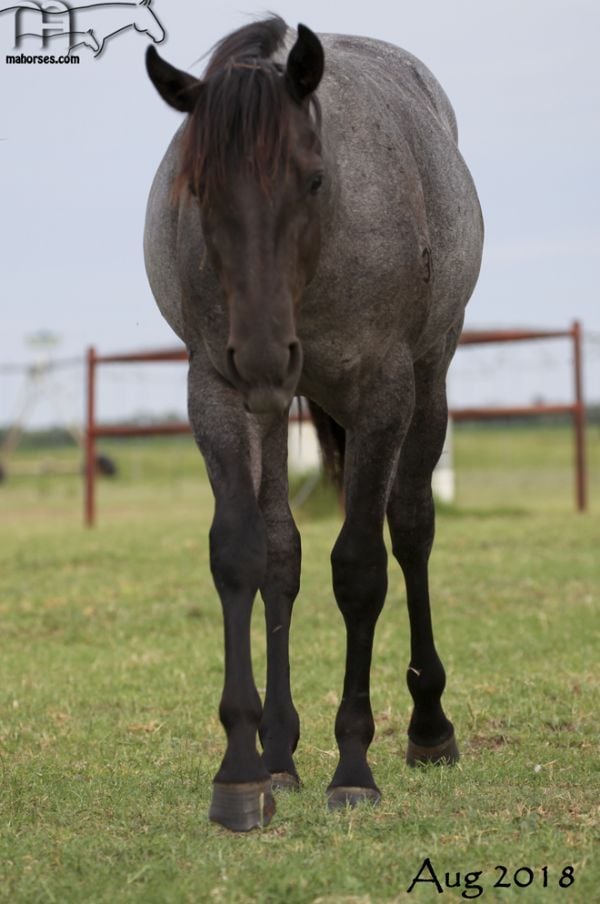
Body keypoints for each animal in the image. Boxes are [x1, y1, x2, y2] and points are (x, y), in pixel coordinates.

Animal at [144, 14, 482, 832]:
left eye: (315, 180)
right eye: (199, 188)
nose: (266, 353)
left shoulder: (383, 391)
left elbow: (360, 568)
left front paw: (354, 766)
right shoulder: (217, 389)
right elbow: (243, 555)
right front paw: (242, 770)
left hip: (429, 380)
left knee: (412, 529)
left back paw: (429, 727)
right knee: (283, 554)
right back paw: (280, 754)